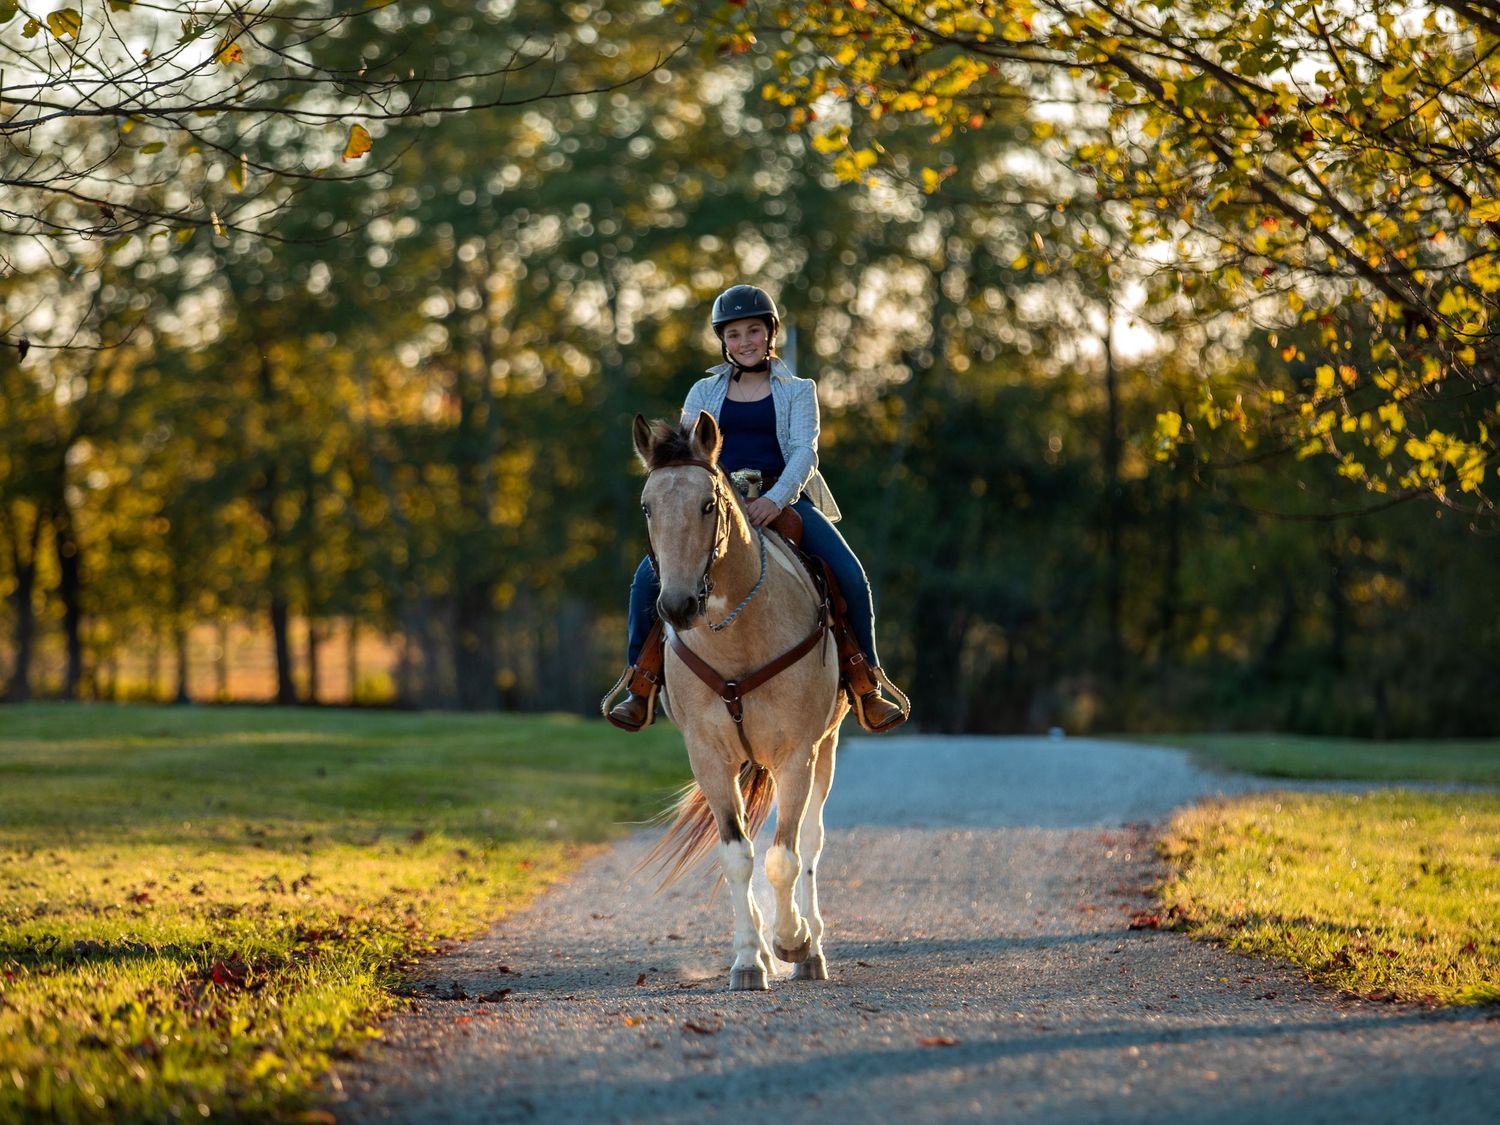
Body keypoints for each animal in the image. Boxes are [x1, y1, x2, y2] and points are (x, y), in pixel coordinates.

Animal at [633, 409, 849, 991]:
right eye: (647, 506)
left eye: (707, 505)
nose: (677, 605)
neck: (739, 635)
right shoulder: (710, 758)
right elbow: (737, 856)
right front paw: (751, 960)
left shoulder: (797, 754)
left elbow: (785, 858)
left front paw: (793, 940)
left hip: (826, 747)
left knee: (812, 842)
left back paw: (812, 947)